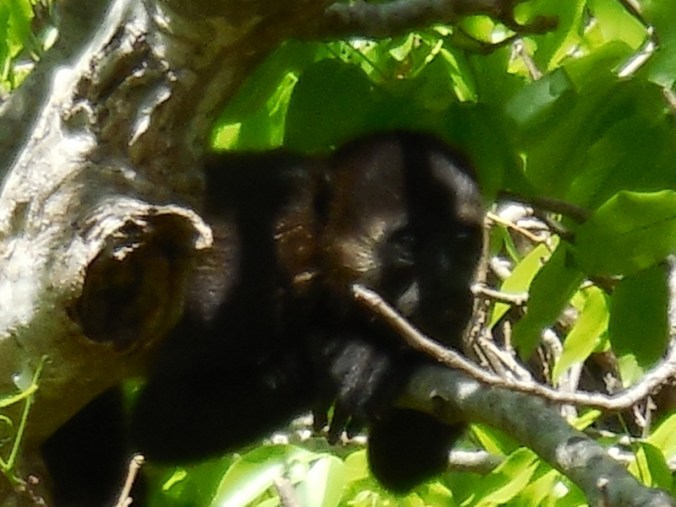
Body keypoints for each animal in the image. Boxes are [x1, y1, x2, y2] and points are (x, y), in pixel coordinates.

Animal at [42, 131, 483, 505]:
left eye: (462, 242)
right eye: (408, 242)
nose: (448, 284)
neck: (319, 254)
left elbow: (399, 463)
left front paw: (395, 358)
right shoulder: (237, 288)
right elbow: (160, 421)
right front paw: (346, 359)